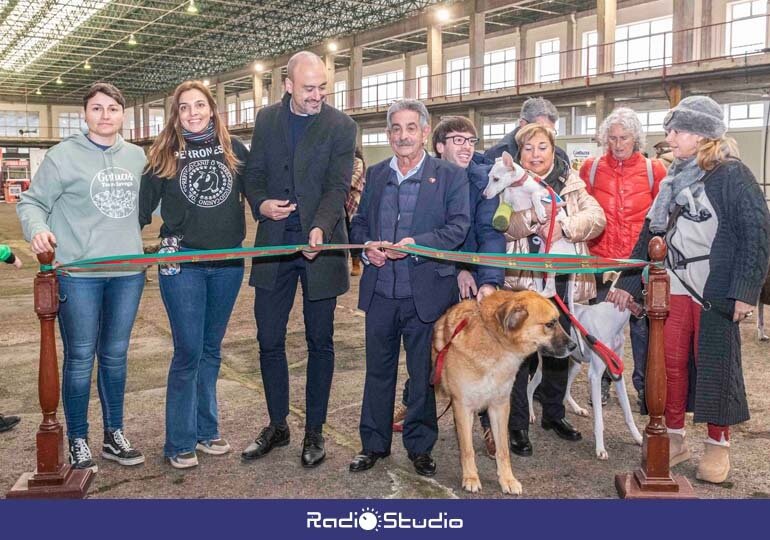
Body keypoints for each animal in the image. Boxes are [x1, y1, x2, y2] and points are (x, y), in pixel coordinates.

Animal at [432, 292, 568, 494]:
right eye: (550, 324)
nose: (574, 346)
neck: (495, 341)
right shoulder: (463, 407)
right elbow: (467, 449)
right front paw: (471, 477)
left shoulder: (499, 406)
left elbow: (503, 450)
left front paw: (507, 480)